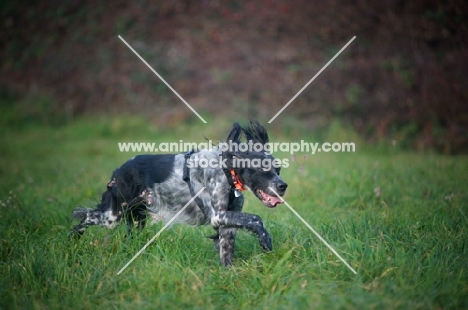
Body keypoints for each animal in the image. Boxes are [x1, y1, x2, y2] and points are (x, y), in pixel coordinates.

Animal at [70, 120, 288, 266]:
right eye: (262, 168)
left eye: (278, 169)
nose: (283, 186)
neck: (227, 169)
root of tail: (119, 170)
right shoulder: (218, 215)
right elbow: (255, 218)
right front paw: (266, 240)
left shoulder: (227, 220)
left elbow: (226, 250)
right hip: (113, 215)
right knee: (84, 217)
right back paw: (73, 239)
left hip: (136, 218)